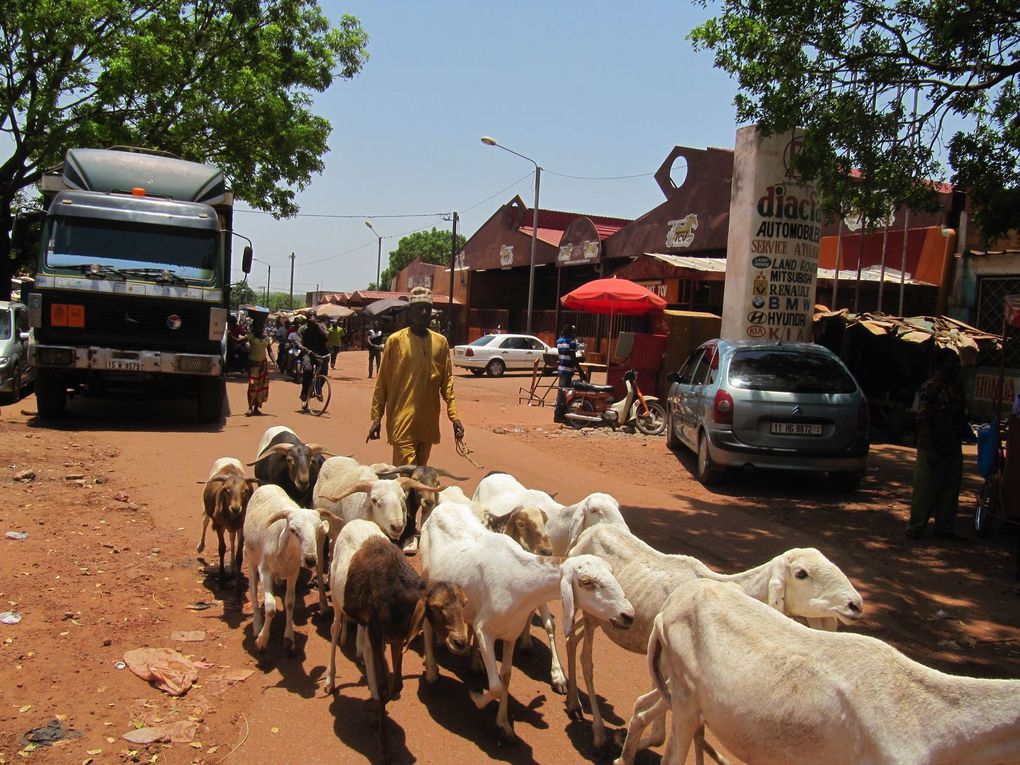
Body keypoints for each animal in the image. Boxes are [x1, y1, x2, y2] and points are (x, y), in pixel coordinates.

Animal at [242, 487, 338, 656]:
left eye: (318, 530)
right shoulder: (265, 571)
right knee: (253, 591)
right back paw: (257, 625)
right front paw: (262, 640)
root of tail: (267, 486)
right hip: (251, 559)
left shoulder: (293, 573)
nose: (310, 560)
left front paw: (289, 638)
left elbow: (290, 603)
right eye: (293, 530)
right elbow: (271, 607)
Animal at [418, 503, 632, 742]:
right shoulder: (485, 630)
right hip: (427, 577)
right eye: (586, 582)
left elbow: (505, 677)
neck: (521, 581)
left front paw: (503, 724)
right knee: (426, 624)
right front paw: (476, 697)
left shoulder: (511, 633)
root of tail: (443, 506)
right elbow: (494, 686)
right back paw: (432, 671)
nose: (627, 614)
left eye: (612, 572)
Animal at [471, 473, 628, 693]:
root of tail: (494, 474)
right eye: (595, 510)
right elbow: (548, 623)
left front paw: (531, 645)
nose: (622, 531)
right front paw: (558, 674)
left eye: (618, 507)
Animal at [571, 526, 864, 754]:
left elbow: (663, 731)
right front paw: (624, 739)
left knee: (574, 639)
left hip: (596, 619)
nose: (856, 604)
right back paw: (594, 727)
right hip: (587, 612)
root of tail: (589, 532)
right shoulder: (669, 665)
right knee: (583, 655)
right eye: (801, 573)